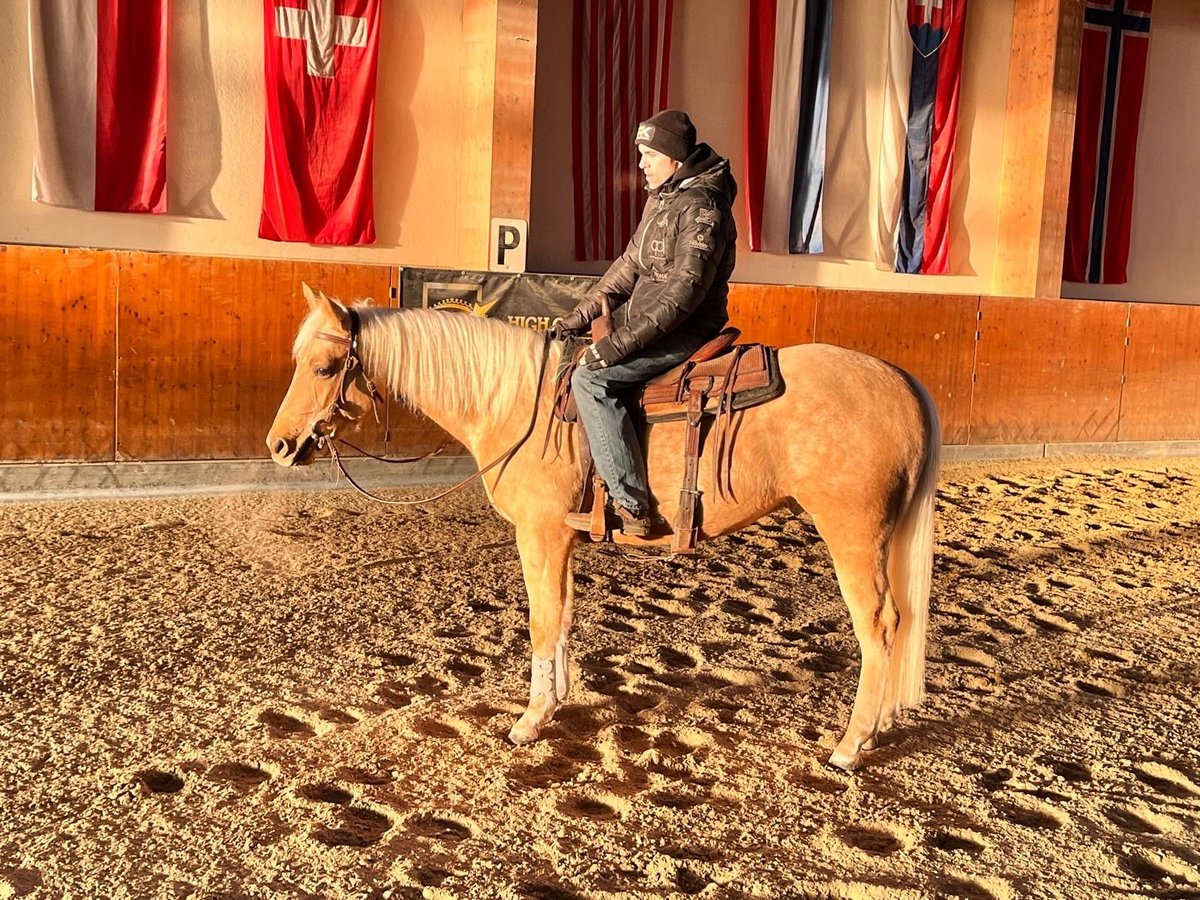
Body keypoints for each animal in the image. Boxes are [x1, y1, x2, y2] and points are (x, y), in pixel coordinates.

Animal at [267, 285, 940, 772]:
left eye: (326, 367)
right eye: (297, 360)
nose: (279, 445)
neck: (518, 404)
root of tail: (902, 381)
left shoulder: (539, 534)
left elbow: (542, 619)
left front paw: (529, 720)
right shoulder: (560, 539)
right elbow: (563, 614)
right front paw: (557, 699)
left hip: (853, 535)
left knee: (878, 625)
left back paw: (850, 745)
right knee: (900, 620)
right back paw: (878, 727)